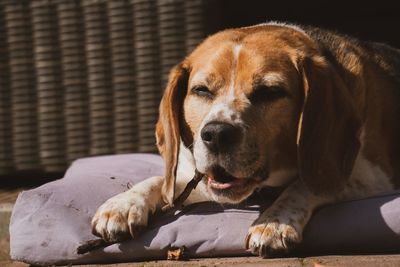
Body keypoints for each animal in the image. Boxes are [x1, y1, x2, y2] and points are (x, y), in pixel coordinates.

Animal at [92, 22, 400, 258]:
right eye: (201, 90)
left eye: (270, 92)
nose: (216, 134)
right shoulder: (198, 181)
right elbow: (163, 181)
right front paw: (125, 203)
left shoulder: (372, 178)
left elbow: (304, 184)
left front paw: (275, 222)